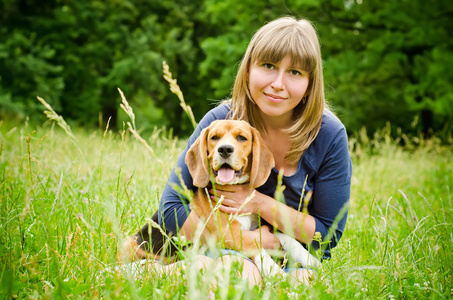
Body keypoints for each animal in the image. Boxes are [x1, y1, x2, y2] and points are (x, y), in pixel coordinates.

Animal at [120, 120, 318, 276]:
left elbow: (286, 236)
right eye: (214, 137)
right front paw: (273, 271)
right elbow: (255, 245)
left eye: (242, 138)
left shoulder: (260, 225)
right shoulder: (228, 232)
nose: (225, 149)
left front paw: (310, 259)